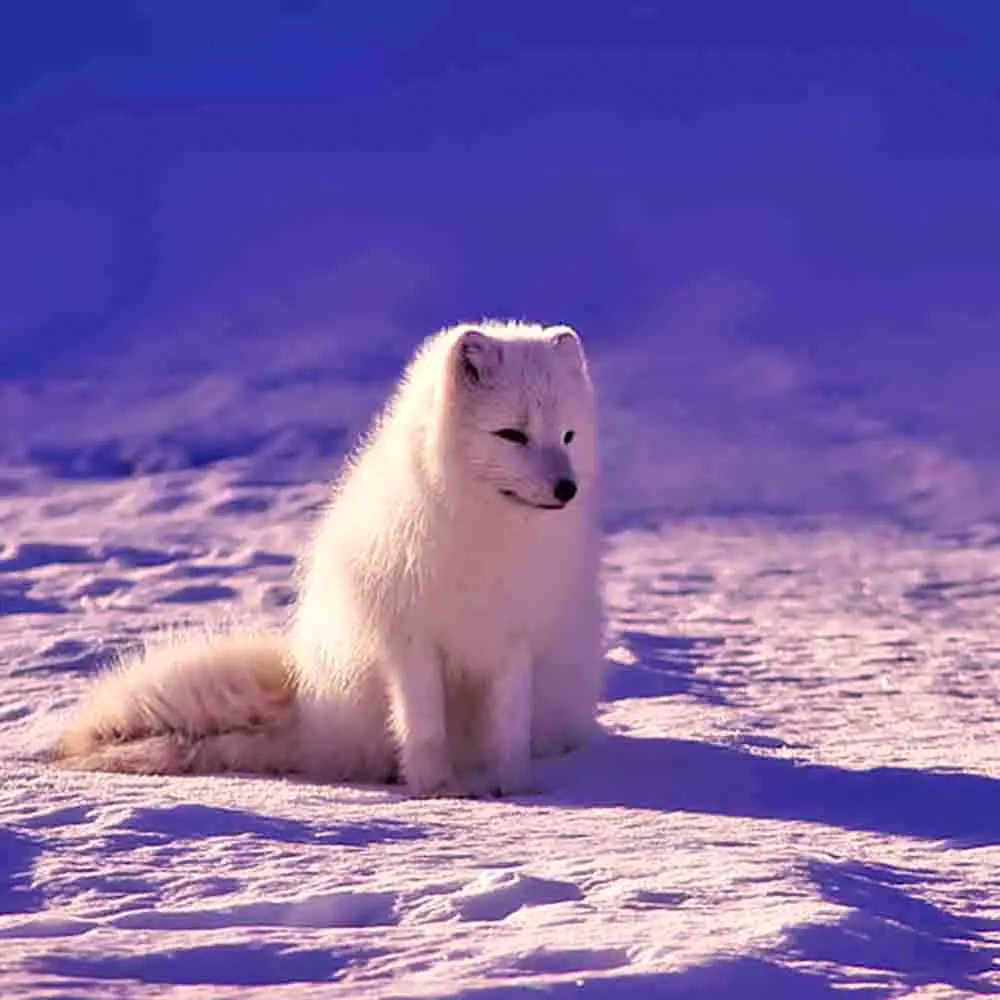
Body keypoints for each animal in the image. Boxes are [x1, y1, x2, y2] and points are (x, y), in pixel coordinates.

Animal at [53, 320, 605, 797]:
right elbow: (423, 726)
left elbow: (508, 727)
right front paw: (438, 790)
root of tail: (308, 712)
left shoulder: (516, 640)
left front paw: (512, 788)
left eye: (568, 436)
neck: (487, 534)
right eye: (512, 435)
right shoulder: (409, 640)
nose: (567, 489)